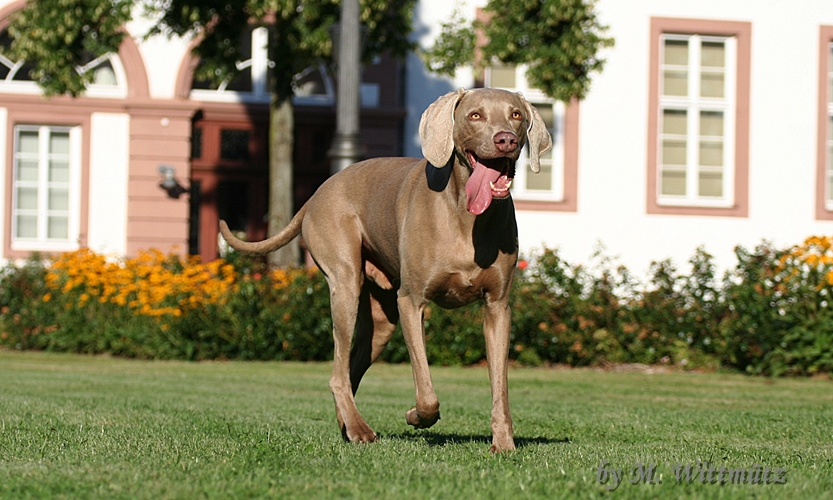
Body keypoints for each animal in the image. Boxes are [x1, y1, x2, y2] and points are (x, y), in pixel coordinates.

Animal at [219, 87, 552, 454]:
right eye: (475, 115)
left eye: (516, 115)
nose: (506, 139)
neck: (467, 216)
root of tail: (316, 193)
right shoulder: (410, 301)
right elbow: (426, 391)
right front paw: (416, 416)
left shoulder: (498, 307)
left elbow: (500, 384)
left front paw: (503, 442)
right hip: (345, 282)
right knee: (337, 372)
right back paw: (360, 429)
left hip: (381, 320)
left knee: (349, 371)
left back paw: (349, 426)